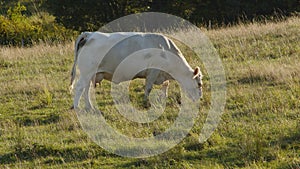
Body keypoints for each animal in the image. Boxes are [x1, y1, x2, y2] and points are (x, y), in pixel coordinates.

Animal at [69, 31, 202, 109]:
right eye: (199, 84)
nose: (200, 99)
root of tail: (89, 34)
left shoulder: (162, 75)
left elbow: (165, 86)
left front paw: (162, 99)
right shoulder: (152, 72)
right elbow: (148, 88)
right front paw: (146, 103)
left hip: (91, 74)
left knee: (86, 89)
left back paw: (89, 106)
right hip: (87, 72)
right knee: (80, 87)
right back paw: (77, 107)